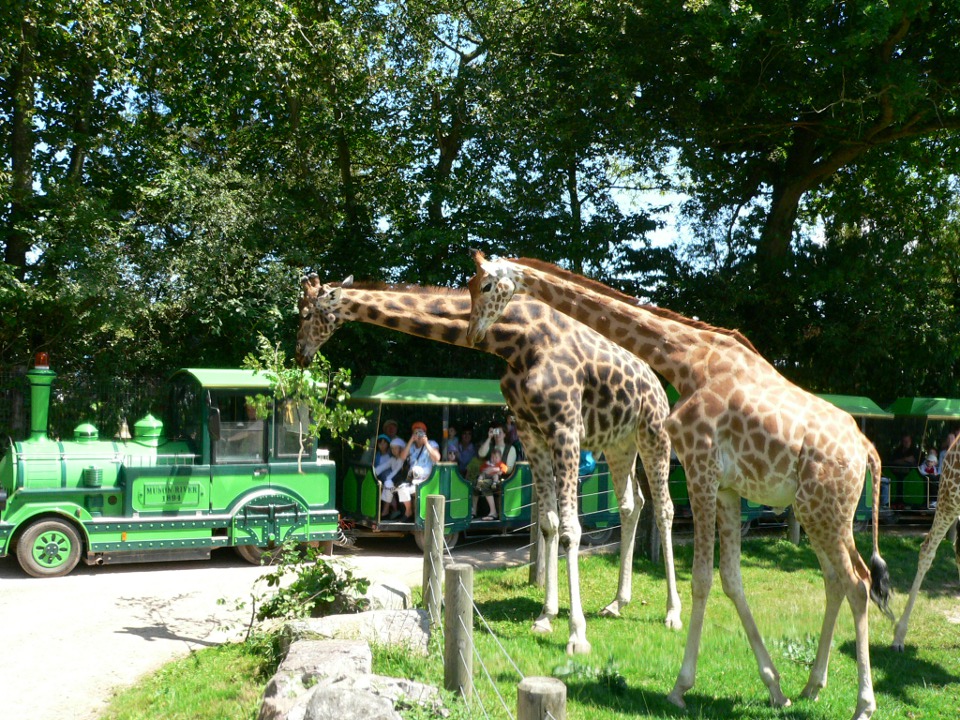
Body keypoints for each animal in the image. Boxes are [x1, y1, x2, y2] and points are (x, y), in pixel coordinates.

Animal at [298, 274, 684, 652]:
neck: (517, 342)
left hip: (652, 432)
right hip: (619, 442)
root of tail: (656, 382)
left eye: (306, 313)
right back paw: (618, 602)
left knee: (665, 508)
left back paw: (672, 613)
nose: (300, 354)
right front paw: (546, 617)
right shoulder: (532, 431)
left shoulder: (565, 428)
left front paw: (577, 635)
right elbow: (549, 523)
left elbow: (571, 528)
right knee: (632, 505)